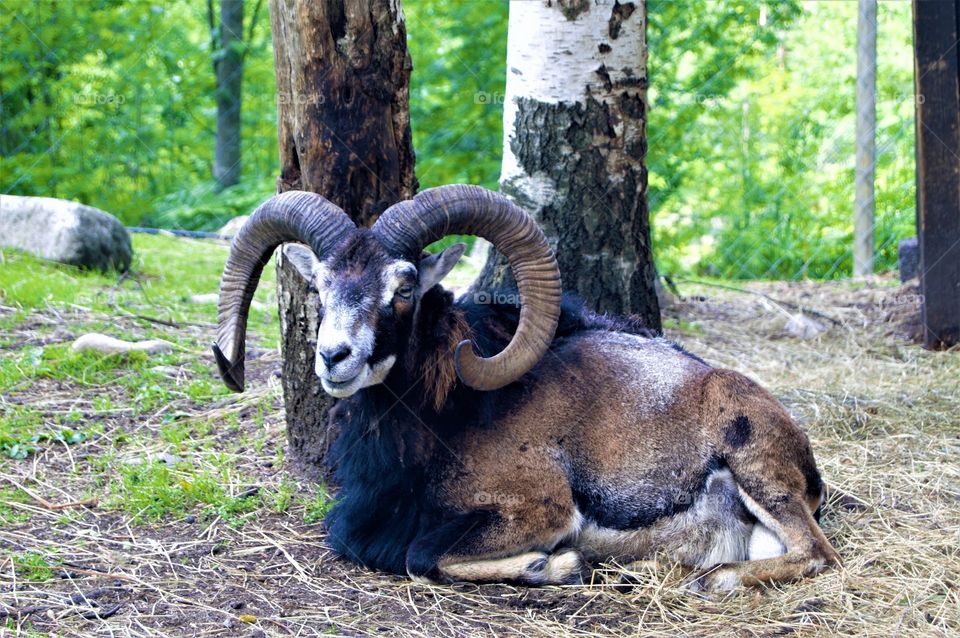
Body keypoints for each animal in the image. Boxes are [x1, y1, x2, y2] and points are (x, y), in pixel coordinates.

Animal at [214, 185, 840, 590]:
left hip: (759, 470)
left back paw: (713, 578)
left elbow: (423, 554)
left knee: (815, 553)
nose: (334, 357)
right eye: (318, 286)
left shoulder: (540, 509)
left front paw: (557, 565)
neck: (447, 417)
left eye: (404, 288)